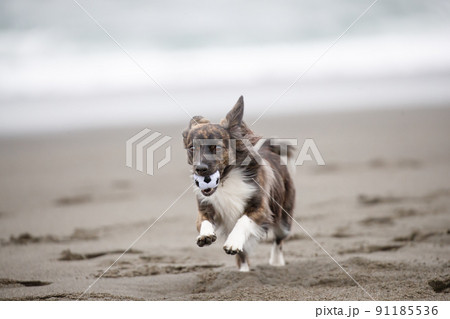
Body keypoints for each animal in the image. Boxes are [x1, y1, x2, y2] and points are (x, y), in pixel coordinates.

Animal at [183, 96, 296, 272]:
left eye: (216, 147)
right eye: (192, 148)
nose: (200, 169)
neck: (227, 179)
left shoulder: (260, 208)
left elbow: (243, 221)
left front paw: (232, 242)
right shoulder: (205, 206)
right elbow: (203, 220)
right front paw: (205, 235)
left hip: (284, 220)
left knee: (278, 240)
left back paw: (276, 262)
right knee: (243, 255)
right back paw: (244, 271)